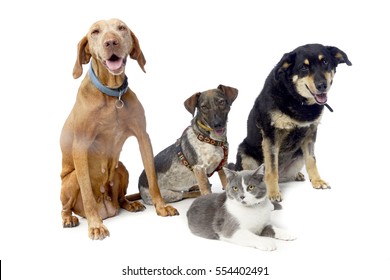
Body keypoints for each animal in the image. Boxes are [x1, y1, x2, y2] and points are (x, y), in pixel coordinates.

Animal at [59, 18, 178, 240]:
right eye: (95, 32)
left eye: (121, 28)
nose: (111, 42)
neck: (113, 95)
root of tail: (107, 207)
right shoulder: (80, 147)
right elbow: (87, 194)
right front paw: (95, 226)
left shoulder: (143, 136)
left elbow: (152, 178)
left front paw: (161, 206)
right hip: (71, 180)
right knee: (66, 206)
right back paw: (69, 218)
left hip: (121, 168)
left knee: (121, 197)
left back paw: (130, 204)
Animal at [236, 43, 352, 201]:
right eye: (303, 67)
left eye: (325, 62)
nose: (322, 85)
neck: (297, 99)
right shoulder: (271, 137)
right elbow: (271, 169)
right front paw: (273, 193)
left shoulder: (310, 133)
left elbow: (311, 160)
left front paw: (317, 181)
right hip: (244, 153)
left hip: (298, 154)